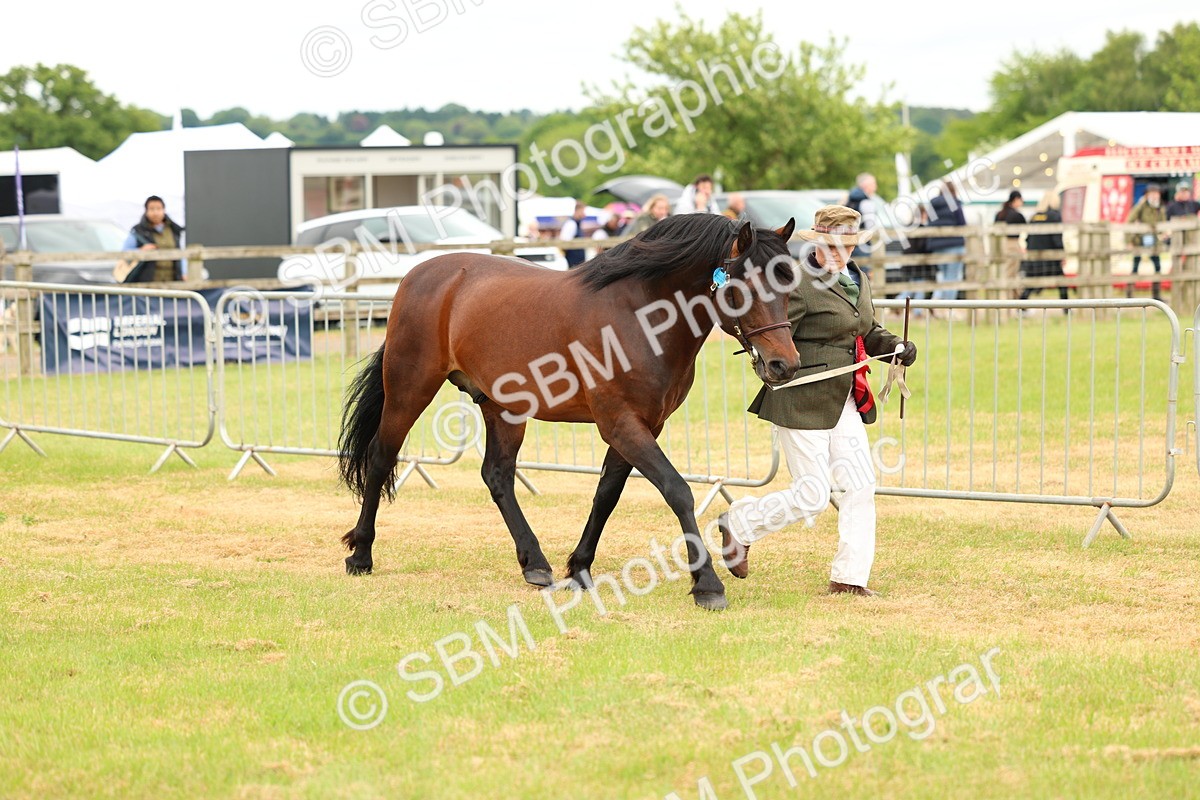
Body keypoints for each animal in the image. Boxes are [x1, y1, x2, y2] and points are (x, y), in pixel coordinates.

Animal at [337, 213, 800, 610]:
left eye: (788, 286)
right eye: (744, 287)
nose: (784, 365)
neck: (636, 316)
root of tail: (419, 275)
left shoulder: (644, 425)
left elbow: (606, 494)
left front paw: (578, 568)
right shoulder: (621, 424)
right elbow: (677, 490)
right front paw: (707, 584)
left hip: (503, 409)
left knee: (497, 475)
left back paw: (535, 564)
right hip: (409, 389)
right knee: (381, 456)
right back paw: (361, 554)